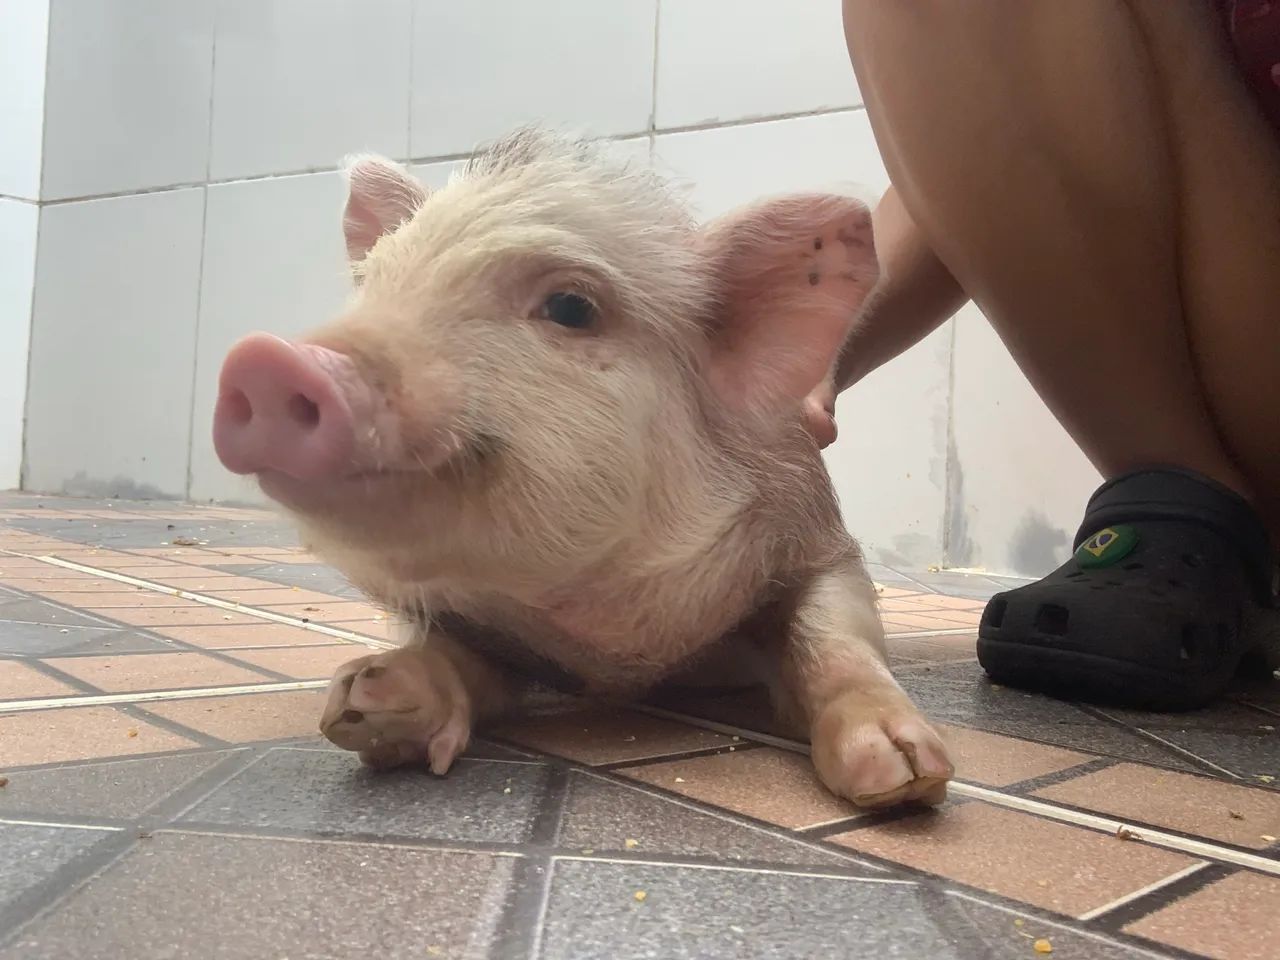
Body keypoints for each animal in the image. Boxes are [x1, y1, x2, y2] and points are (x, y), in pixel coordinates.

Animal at [211, 128, 953, 808]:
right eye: (374, 286)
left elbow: (835, 633)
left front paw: (904, 774)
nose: (266, 357)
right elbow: (458, 660)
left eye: (571, 307)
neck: (618, 658)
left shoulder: (820, 537)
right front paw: (362, 697)